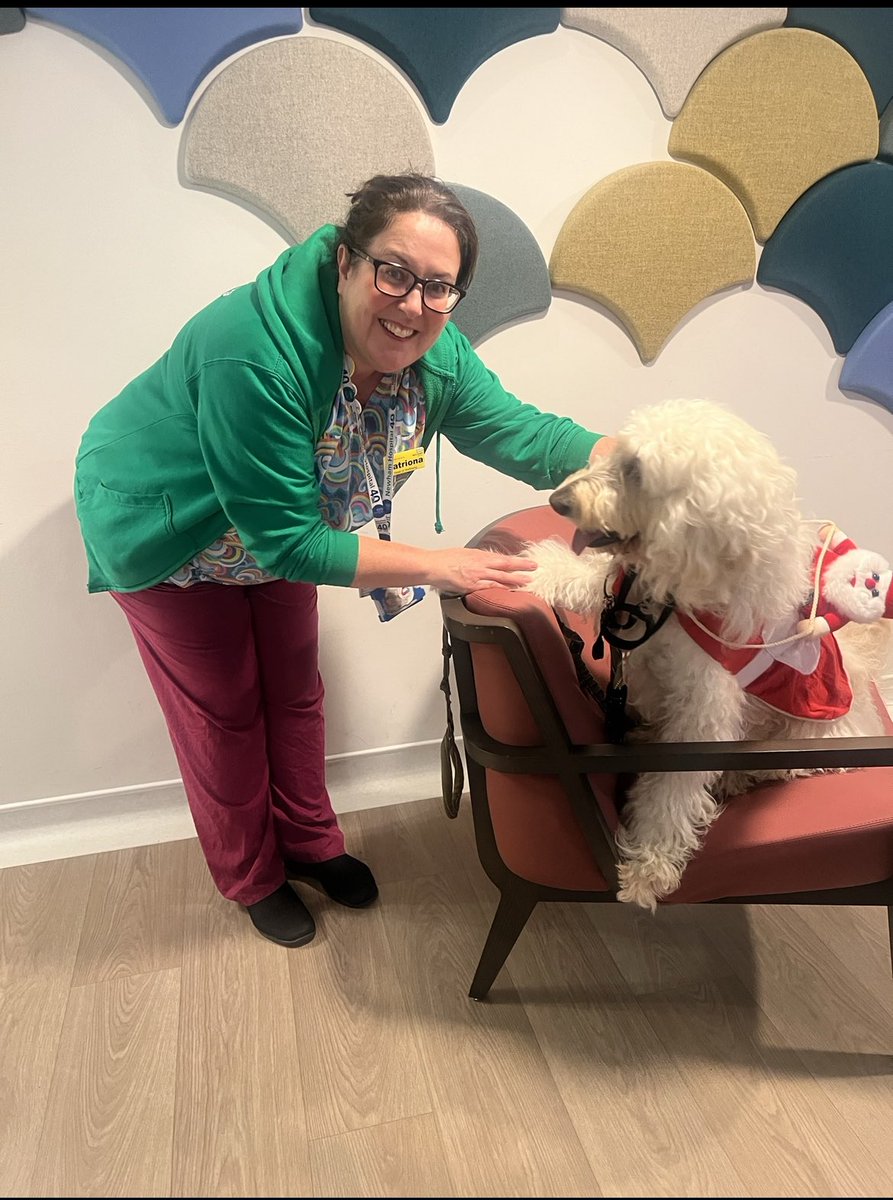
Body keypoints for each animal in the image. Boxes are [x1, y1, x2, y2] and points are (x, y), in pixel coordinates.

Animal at [525, 396, 888, 907]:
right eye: (619, 453)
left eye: (636, 470)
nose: (559, 500)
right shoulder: (633, 593)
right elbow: (591, 575)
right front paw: (532, 570)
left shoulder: (702, 716)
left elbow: (671, 792)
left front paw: (648, 865)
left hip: (807, 736)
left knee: (785, 766)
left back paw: (737, 777)